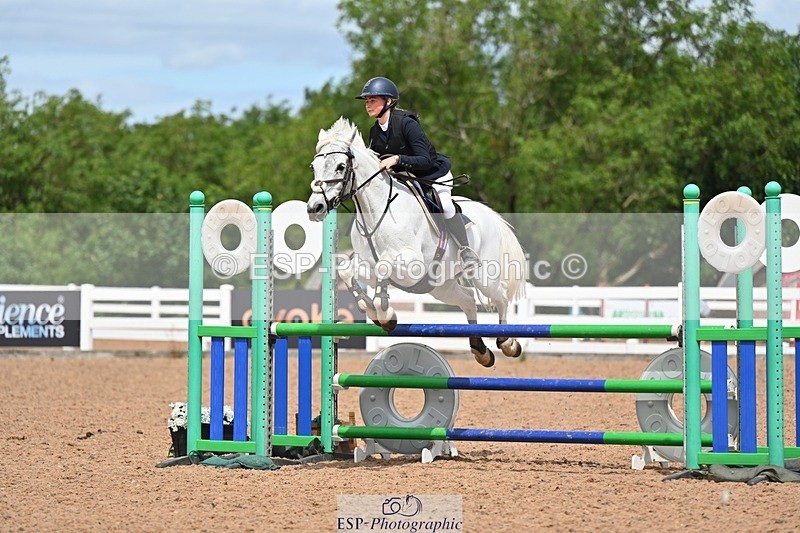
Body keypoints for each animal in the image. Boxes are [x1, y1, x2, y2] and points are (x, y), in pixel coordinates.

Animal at [306, 117, 527, 367]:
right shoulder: (365, 265)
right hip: (440, 286)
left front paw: (384, 313)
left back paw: (508, 342)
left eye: (341, 167)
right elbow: (347, 271)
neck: (377, 210)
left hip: (484, 276)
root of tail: (489, 214)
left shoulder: (412, 263)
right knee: (469, 299)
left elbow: (384, 264)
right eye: (314, 167)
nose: (315, 208)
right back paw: (481, 350)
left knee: (501, 296)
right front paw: (372, 309)